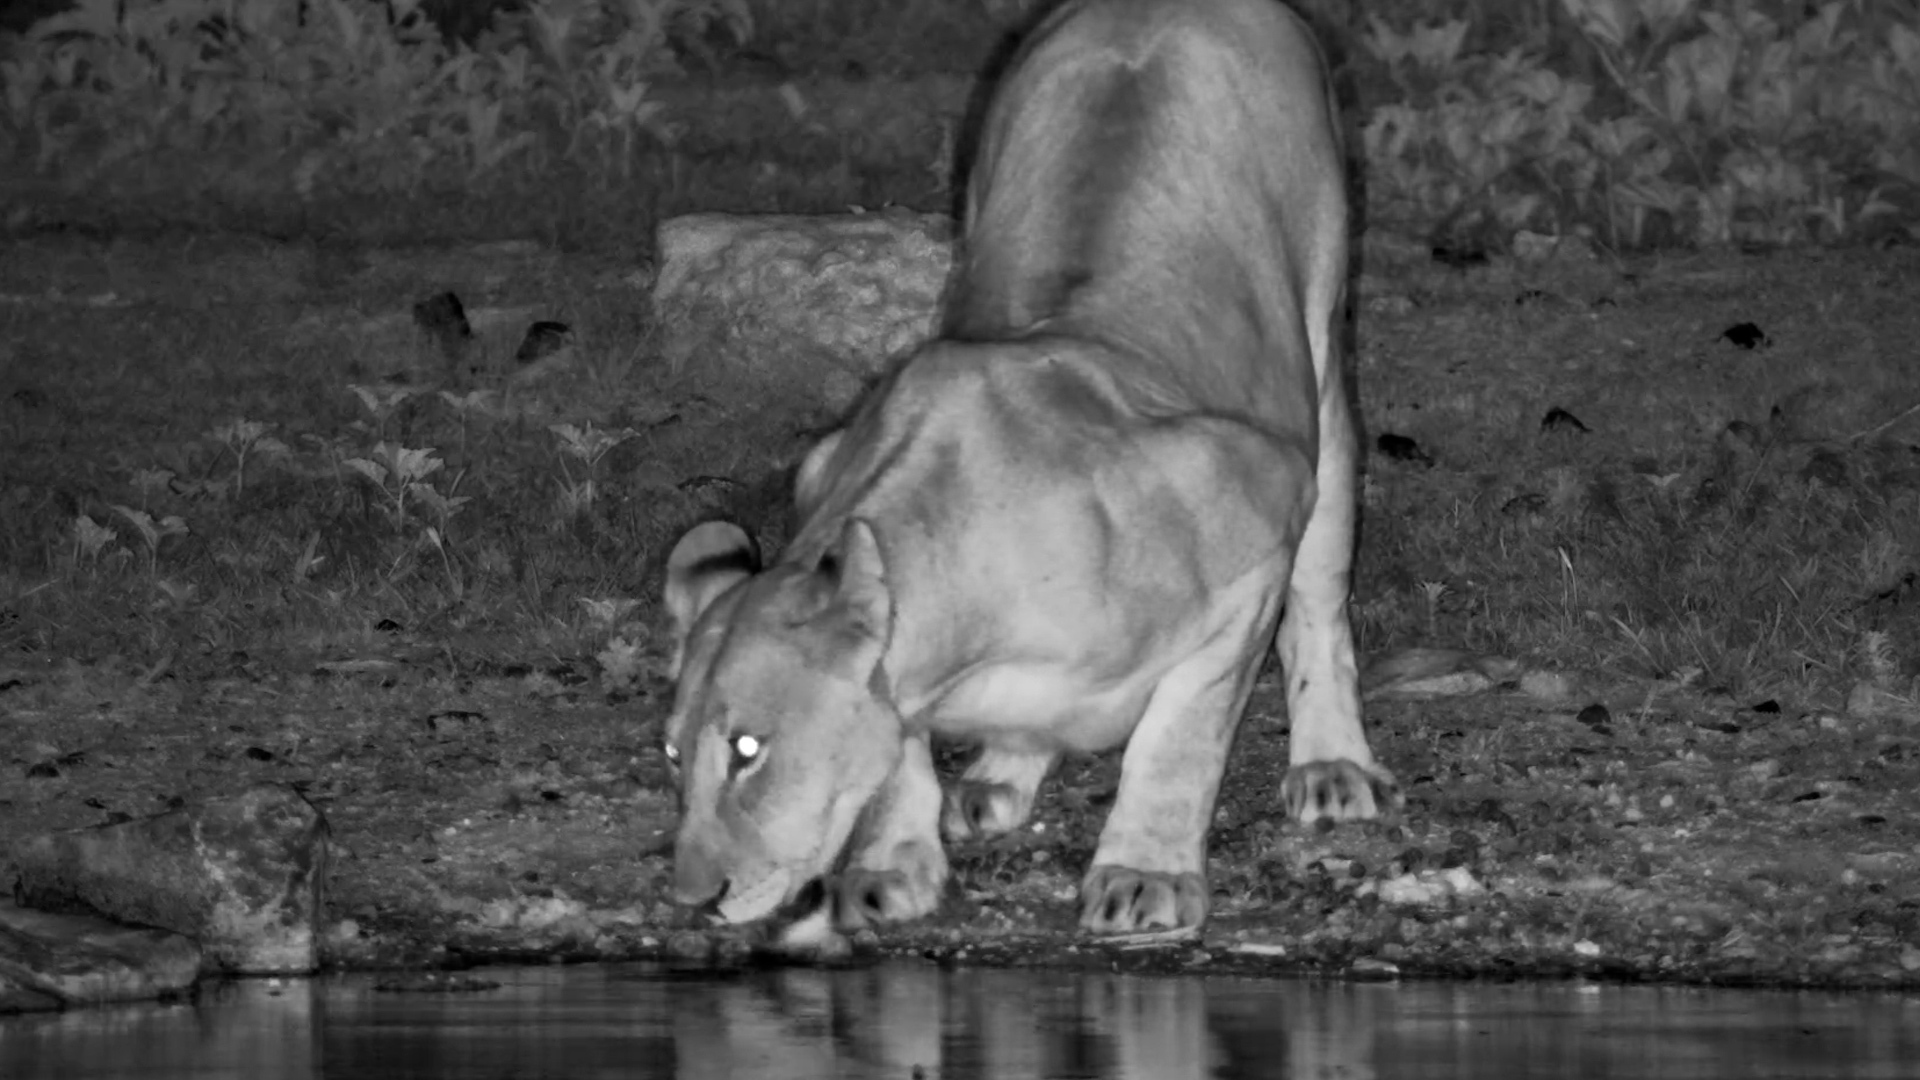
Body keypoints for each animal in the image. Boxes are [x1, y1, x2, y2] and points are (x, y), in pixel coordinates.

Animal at [660, 0, 1399, 936]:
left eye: (749, 750)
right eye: (673, 752)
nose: (694, 898)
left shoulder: (1259, 510)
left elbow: (1180, 736)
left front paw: (1145, 874)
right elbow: (896, 749)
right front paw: (891, 865)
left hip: (1324, 359)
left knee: (1321, 597)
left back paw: (1331, 766)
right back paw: (994, 779)